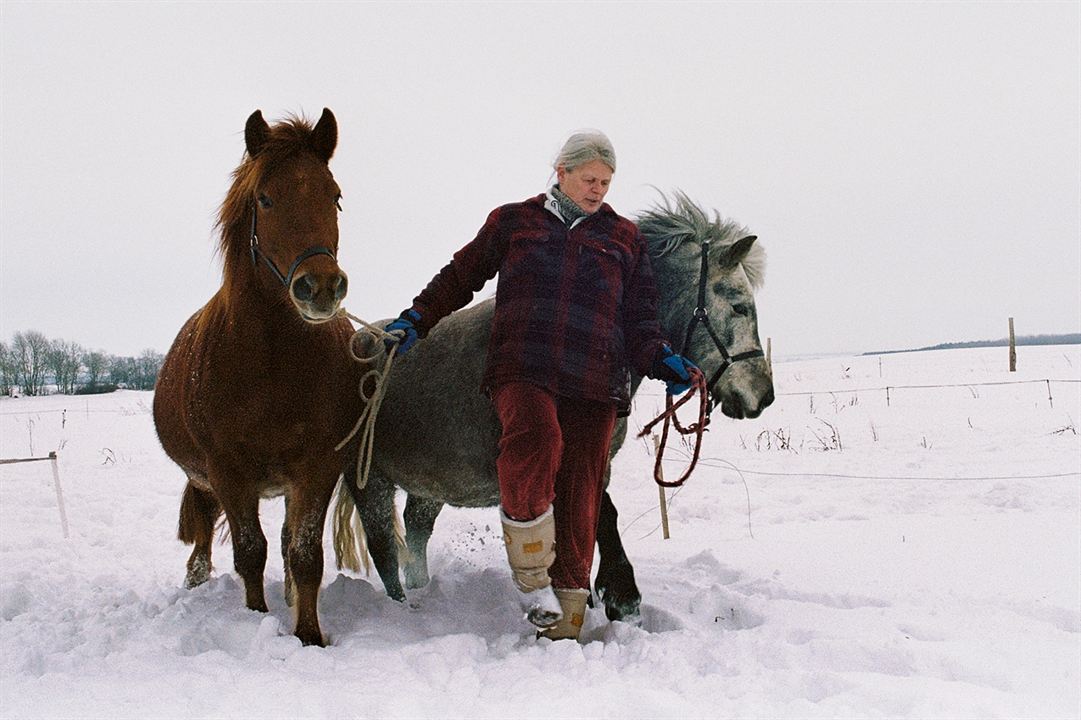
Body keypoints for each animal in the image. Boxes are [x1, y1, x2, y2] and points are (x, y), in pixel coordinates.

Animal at [153, 106, 363, 644]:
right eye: (265, 199)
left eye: (335, 195)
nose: (321, 287)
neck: (271, 363)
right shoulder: (229, 473)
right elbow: (250, 553)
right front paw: (255, 622)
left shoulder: (316, 468)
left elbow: (304, 554)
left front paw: (308, 635)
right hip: (207, 481)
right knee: (205, 529)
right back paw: (197, 578)